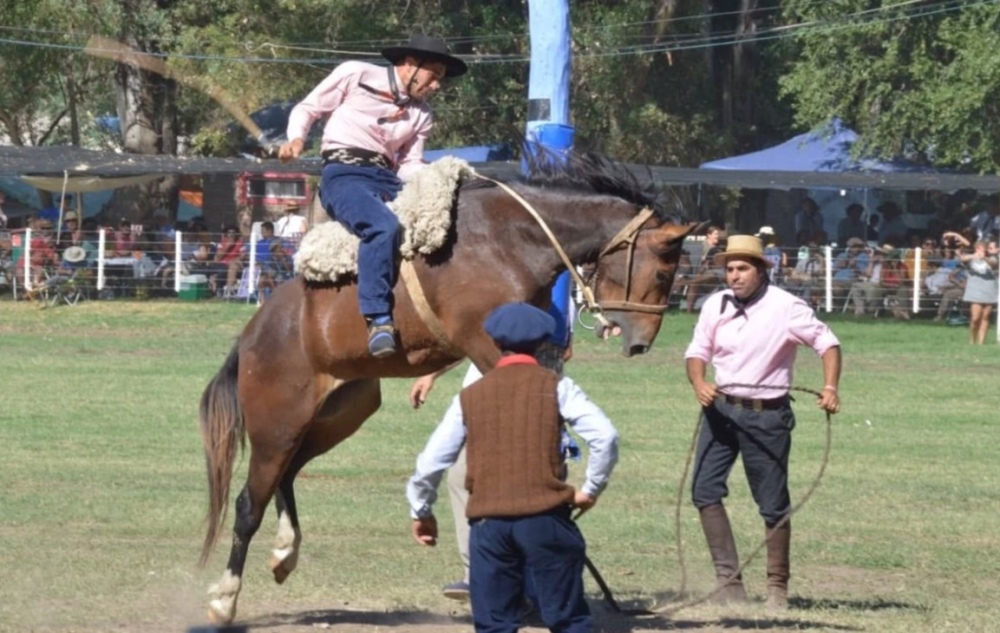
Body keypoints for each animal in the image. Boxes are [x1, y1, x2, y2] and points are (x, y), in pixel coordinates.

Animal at [197, 153, 704, 624]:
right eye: (664, 273)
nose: (639, 342)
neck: (510, 239)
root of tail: (254, 333)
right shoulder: (487, 345)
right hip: (277, 423)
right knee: (249, 503)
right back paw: (224, 598)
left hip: (340, 412)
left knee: (286, 476)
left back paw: (285, 552)